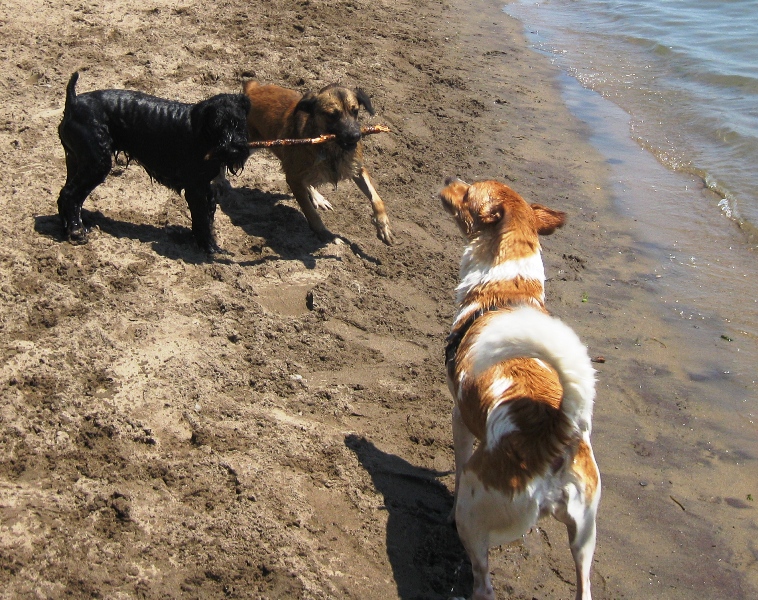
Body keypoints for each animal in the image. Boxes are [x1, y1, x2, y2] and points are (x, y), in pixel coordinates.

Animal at [56, 72, 251, 254]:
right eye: (217, 125)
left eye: (240, 123)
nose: (235, 150)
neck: (204, 134)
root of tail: (73, 102)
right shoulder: (196, 188)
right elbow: (202, 219)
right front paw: (209, 248)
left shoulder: (206, 187)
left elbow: (206, 218)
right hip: (97, 164)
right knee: (70, 195)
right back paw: (76, 232)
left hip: (76, 161)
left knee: (66, 194)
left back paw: (66, 228)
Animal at [236, 80, 394, 245]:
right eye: (332, 115)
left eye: (355, 111)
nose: (356, 136)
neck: (331, 149)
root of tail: (253, 88)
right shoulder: (293, 178)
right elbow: (310, 212)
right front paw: (325, 234)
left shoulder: (357, 168)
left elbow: (376, 198)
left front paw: (383, 225)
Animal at [440, 178, 601, 600]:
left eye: (468, 191)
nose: (448, 179)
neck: (505, 288)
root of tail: (554, 433)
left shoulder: (459, 416)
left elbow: (458, 463)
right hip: (585, 535)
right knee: (584, 585)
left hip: (475, 511)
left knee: (483, 580)